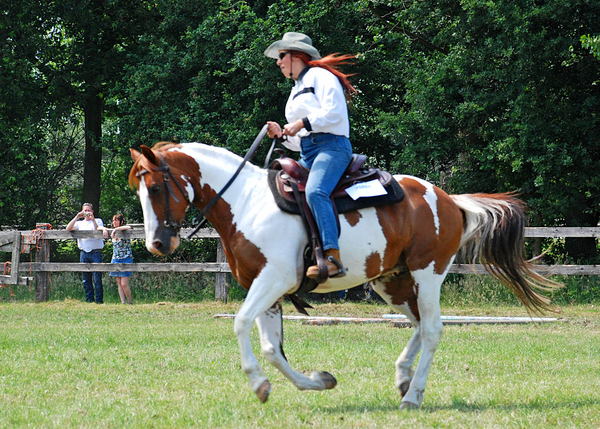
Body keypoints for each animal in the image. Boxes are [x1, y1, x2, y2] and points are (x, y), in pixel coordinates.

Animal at [129, 140, 560, 408]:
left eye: (155, 187)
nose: (157, 244)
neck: (245, 203)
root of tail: (449, 199)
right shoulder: (265, 289)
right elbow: (272, 348)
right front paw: (315, 381)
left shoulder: (273, 281)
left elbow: (240, 324)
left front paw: (259, 384)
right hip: (393, 281)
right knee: (420, 325)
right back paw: (403, 378)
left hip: (427, 275)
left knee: (434, 330)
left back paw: (412, 395)